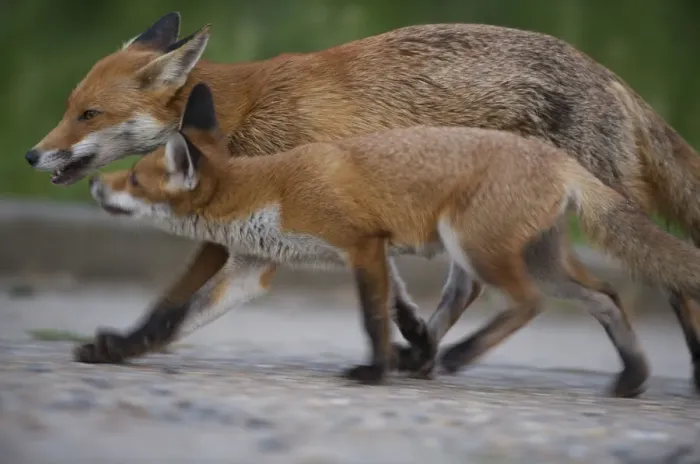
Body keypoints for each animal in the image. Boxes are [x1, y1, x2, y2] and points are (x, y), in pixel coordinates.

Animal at [25, 12, 700, 391]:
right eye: (67, 107)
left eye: (88, 115)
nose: (31, 155)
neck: (247, 111)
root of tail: (610, 75)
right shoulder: (255, 227)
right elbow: (170, 309)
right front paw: (121, 348)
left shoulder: (309, 210)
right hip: (480, 226)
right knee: (473, 289)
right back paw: (426, 357)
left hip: (577, 216)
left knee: (673, 279)